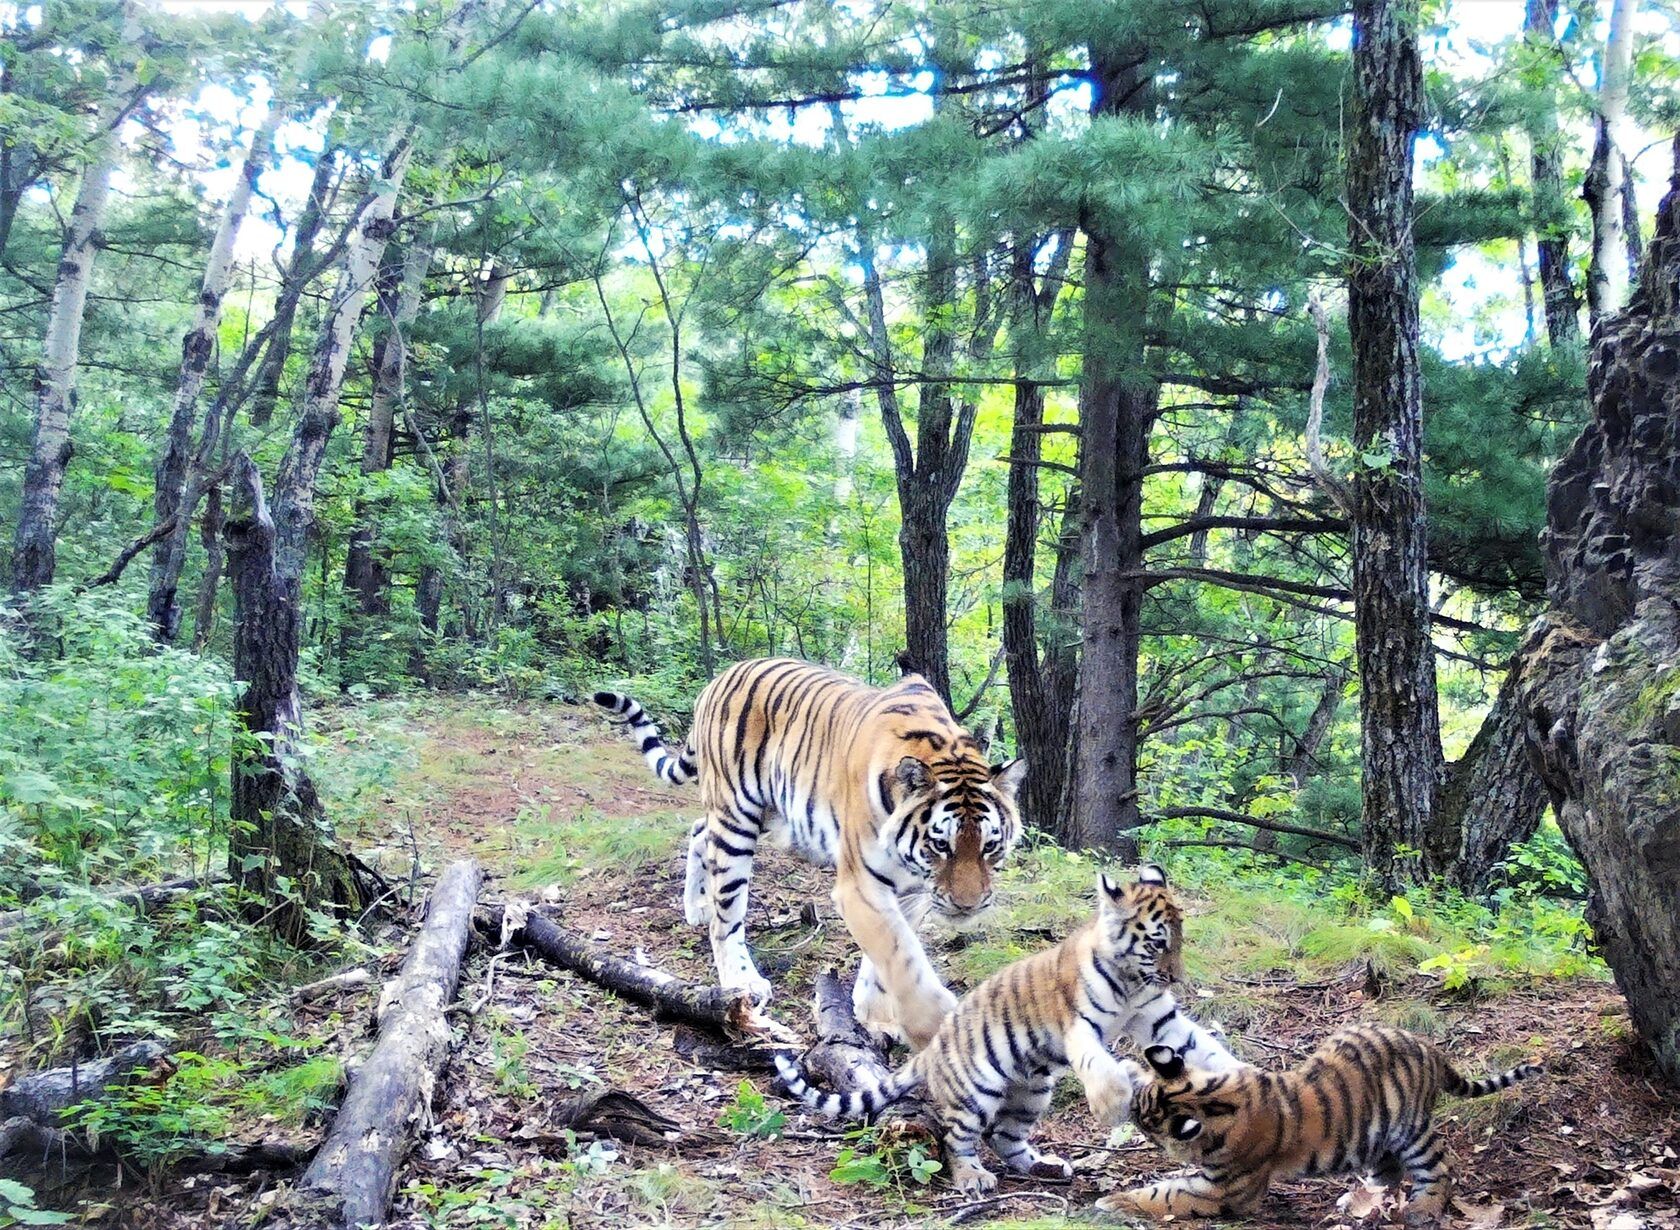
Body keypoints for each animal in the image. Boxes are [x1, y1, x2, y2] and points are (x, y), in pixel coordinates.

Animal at [593, 657, 1026, 1049]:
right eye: (940, 845)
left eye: (990, 846)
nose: (968, 905)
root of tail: (718, 679)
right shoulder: (861, 886)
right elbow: (900, 955)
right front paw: (935, 1028)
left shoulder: (913, 893)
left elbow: (887, 959)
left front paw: (875, 1016)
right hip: (737, 819)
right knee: (726, 917)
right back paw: (741, 977)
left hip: (766, 814)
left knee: (700, 832)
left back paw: (696, 907)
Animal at [773, 866, 1242, 1196]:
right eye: (1159, 943)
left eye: (1180, 939)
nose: (1177, 977)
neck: (1132, 981)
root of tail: (934, 1047)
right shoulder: (1079, 1024)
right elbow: (1099, 1065)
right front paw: (1113, 1105)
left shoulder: (1159, 1019)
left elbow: (1205, 1047)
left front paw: (1241, 1077)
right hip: (976, 1090)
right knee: (957, 1137)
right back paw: (971, 1177)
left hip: (1031, 1092)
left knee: (1003, 1136)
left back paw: (1044, 1166)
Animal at [1101, 1024, 1543, 1223]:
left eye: (1146, 1129)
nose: (1130, 1112)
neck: (1216, 1100)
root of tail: (1428, 1046)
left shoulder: (1225, 1189)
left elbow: (1166, 1194)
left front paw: (1113, 1202)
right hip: (1374, 1136)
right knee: (1389, 1171)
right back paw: (1358, 1200)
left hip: (1412, 1129)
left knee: (1440, 1168)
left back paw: (1421, 1208)